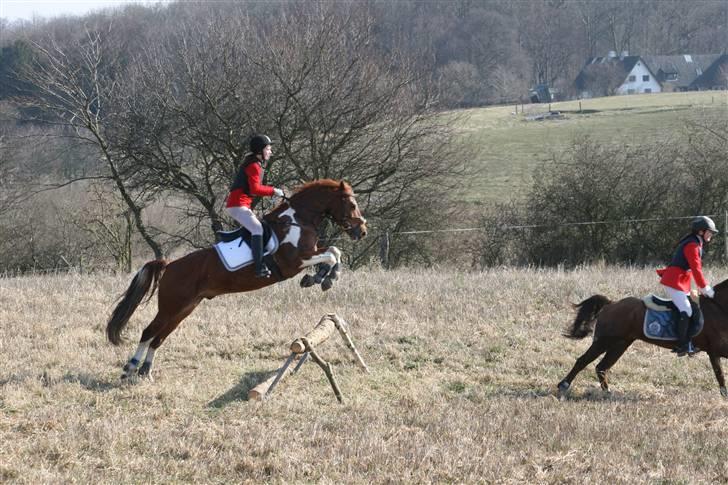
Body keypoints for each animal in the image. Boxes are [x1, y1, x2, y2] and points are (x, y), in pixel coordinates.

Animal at [105, 178, 366, 378]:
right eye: (352, 204)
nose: (362, 232)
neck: (298, 220)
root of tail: (169, 265)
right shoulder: (294, 262)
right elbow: (331, 253)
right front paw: (322, 278)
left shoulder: (309, 253)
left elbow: (333, 252)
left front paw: (322, 278)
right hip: (171, 306)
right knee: (148, 332)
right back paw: (129, 369)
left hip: (185, 308)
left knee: (158, 338)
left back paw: (145, 371)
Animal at [560, 278, 728, 398]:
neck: (719, 307)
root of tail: (611, 304)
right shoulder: (715, 349)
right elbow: (720, 374)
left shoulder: (715, 352)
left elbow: (719, 375)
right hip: (604, 341)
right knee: (583, 361)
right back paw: (563, 386)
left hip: (620, 344)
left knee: (602, 367)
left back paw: (608, 393)